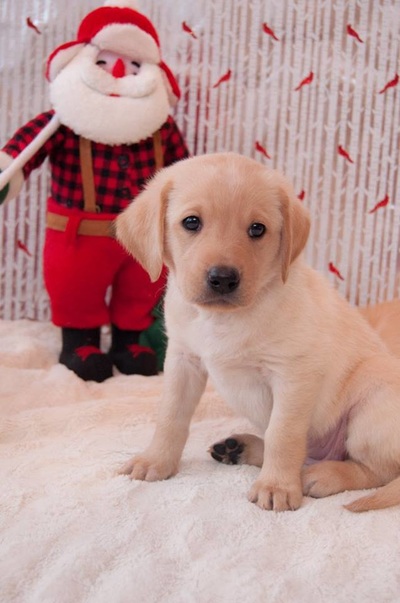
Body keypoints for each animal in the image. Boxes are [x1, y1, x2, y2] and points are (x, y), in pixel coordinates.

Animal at [115, 153, 400, 512]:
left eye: (257, 229)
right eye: (191, 222)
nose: (223, 278)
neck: (224, 319)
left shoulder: (293, 375)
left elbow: (284, 434)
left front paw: (277, 486)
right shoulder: (183, 359)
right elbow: (170, 415)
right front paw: (156, 460)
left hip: (372, 404)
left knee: (376, 470)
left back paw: (323, 475)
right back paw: (240, 448)